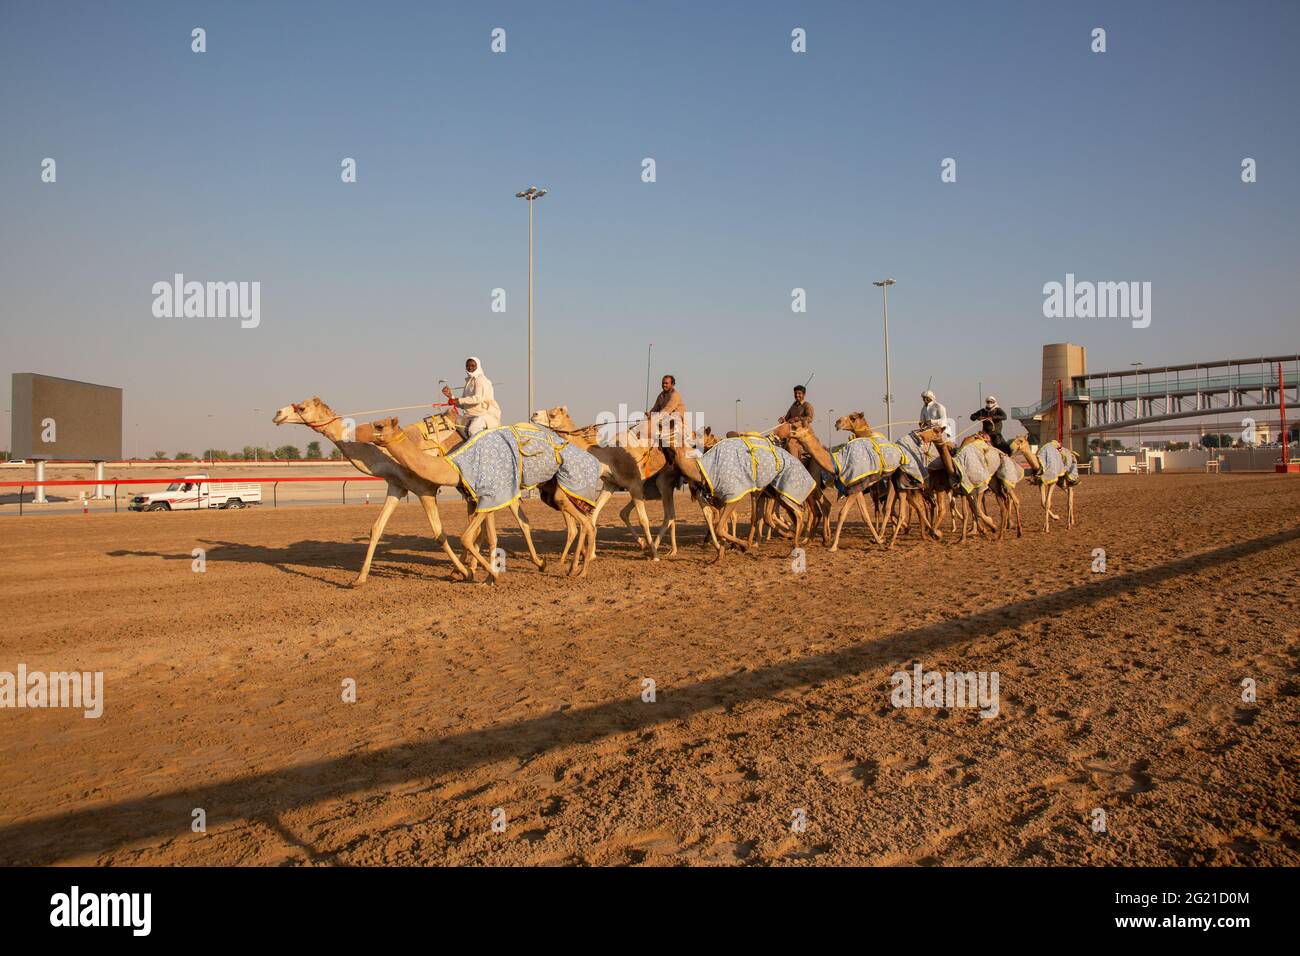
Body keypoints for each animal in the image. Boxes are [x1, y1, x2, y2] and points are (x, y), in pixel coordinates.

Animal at [274, 395, 473, 582]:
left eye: (302, 407)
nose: (278, 414)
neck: (392, 459)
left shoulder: (425, 490)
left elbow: (440, 534)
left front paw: (463, 572)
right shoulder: (397, 486)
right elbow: (376, 528)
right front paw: (359, 578)